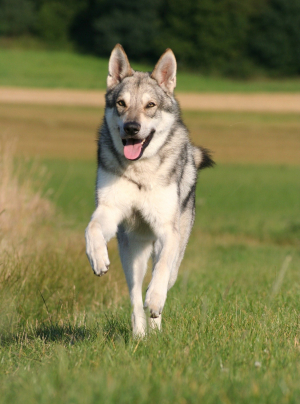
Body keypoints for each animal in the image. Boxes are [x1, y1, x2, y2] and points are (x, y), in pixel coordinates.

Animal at [85, 44, 214, 336]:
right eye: (121, 103)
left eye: (150, 105)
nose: (132, 128)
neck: (140, 172)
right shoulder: (109, 210)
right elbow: (92, 228)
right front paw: (97, 259)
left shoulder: (167, 230)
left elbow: (161, 272)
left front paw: (154, 300)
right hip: (131, 254)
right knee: (134, 294)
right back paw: (140, 334)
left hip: (175, 251)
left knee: (163, 277)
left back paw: (155, 325)